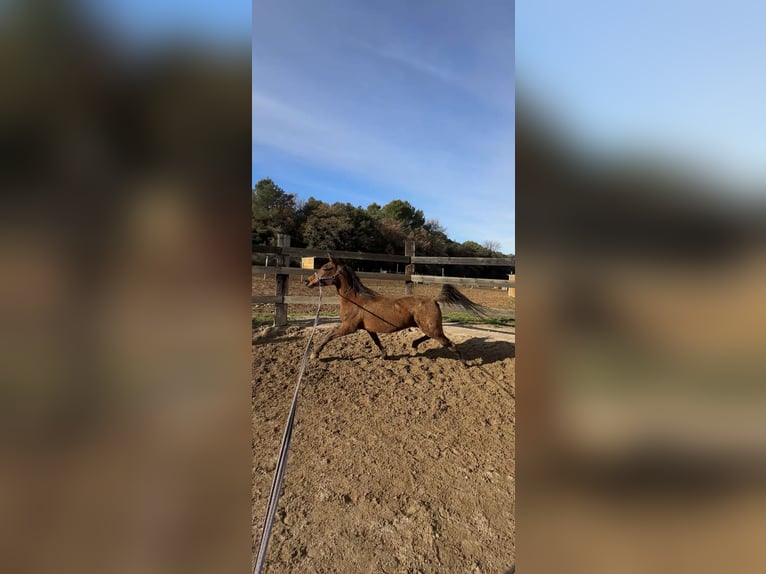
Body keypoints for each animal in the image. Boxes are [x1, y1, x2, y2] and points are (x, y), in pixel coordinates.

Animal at [304, 255, 485, 361]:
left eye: (326, 268)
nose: (307, 281)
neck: (355, 301)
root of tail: (434, 300)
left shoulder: (349, 327)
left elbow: (329, 336)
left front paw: (314, 354)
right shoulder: (368, 328)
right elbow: (376, 341)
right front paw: (384, 355)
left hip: (432, 328)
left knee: (448, 342)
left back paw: (464, 363)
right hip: (428, 327)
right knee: (432, 337)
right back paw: (413, 347)